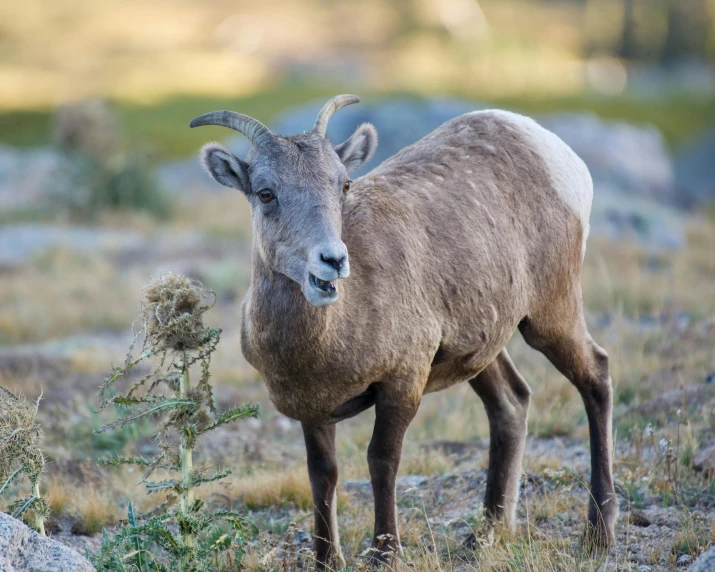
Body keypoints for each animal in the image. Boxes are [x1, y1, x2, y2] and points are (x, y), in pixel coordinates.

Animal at [190, 96, 616, 564]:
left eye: (342, 185)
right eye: (266, 193)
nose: (332, 261)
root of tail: (548, 145)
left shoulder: (402, 384)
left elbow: (382, 461)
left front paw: (385, 554)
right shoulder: (313, 408)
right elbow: (323, 474)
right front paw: (327, 560)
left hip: (549, 315)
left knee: (595, 376)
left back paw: (598, 534)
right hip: (482, 349)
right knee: (511, 403)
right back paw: (488, 532)